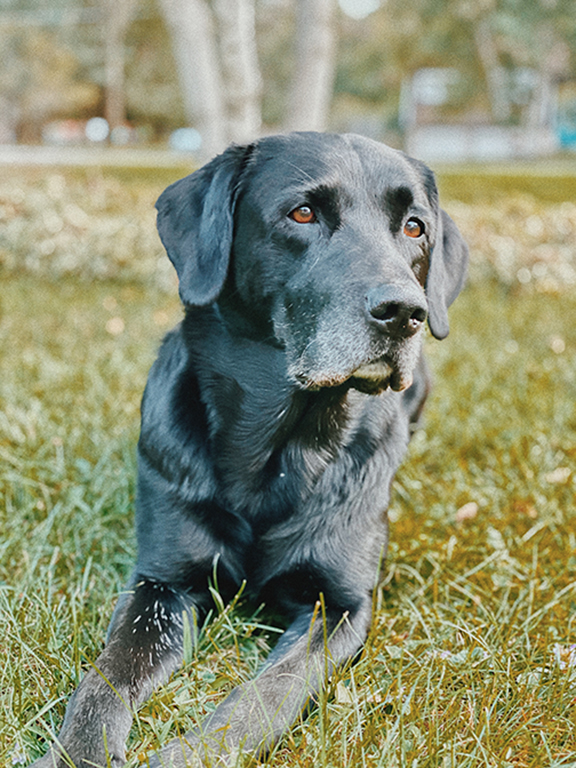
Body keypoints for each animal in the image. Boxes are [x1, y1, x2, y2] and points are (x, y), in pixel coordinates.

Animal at [32, 134, 468, 768]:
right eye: (303, 214)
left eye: (415, 227)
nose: (405, 312)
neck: (275, 453)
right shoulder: (162, 583)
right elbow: (105, 677)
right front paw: (78, 752)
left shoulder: (339, 605)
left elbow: (267, 692)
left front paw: (192, 754)